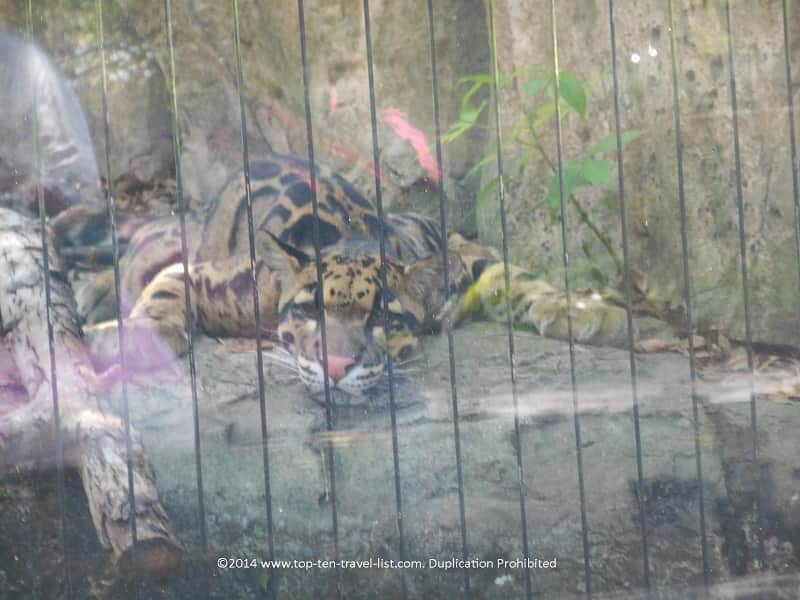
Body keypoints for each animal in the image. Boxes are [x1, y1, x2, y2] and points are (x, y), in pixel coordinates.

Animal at [73, 154, 631, 401]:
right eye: (306, 311)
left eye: (382, 317)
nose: (336, 366)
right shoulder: (218, 277)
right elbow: (166, 290)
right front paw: (130, 337)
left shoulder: (455, 252)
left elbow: (516, 275)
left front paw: (587, 310)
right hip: (181, 239)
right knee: (145, 246)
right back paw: (92, 293)